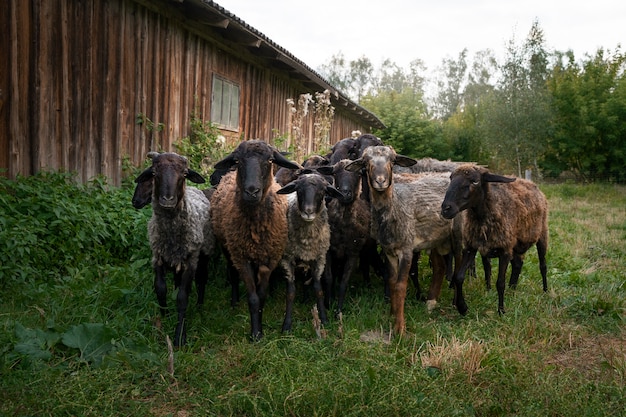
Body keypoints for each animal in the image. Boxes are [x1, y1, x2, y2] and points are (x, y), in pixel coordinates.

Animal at [133, 151, 213, 346]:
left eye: (184, 174)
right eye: (154, 173)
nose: (167, 200)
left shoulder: (190, 262)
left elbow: (182, 297)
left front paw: (179, 336)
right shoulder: (158, 257)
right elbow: (160, 289)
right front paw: (164, 316)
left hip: (203, 253)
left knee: (202, 279)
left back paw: (199, 305)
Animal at [208, 138, 302, 340]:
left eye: (270, 160)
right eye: (238, 160)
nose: (252, 191)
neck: (255, 228)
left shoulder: (269, 259)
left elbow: (262, 295)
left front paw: (261, 327)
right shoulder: (242, 258)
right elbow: (253, 298)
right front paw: (255, 334)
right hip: (228, 248)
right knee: (232, 273)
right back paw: (234, 301)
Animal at [274, 171, 342, 330]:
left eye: (322, 192)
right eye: (298, 190)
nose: (308, 212)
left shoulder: (319, 258)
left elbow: (318, 289)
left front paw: (324, 319)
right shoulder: (287, 259)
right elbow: (290, 292)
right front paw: (286, 324)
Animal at [344, 146, 456, 334]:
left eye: (393, 161)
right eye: (366, 163)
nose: (380, 181)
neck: (394, 207)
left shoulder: (406, 249)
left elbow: (400, 286)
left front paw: (400, 328)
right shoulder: (389, 250)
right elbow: (391, 282)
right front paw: (392, 315)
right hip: (435, 237)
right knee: (439, 267)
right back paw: (431, 302)